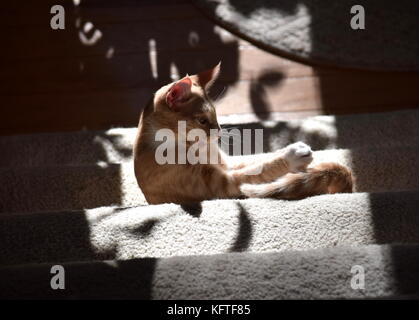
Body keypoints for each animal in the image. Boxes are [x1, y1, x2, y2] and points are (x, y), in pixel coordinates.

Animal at [133, 63, 352, 204]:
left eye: (216, 116)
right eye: (202, 120)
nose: (219, 132)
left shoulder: (227, 163)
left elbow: (257, 158)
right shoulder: (221, 184)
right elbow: (258, 170)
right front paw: (293, 156)